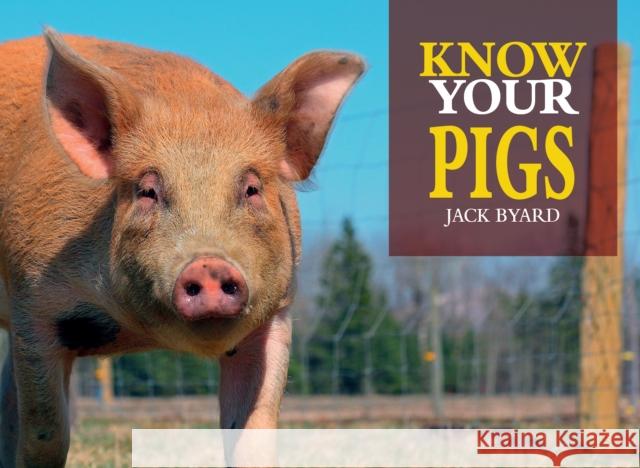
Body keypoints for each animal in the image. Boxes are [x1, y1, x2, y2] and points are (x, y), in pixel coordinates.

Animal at [0, 28, 363, 467]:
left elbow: (253, 432)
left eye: (252, 188)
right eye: (147, 191)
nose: (208, 265)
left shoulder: (277, 313)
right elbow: (46, 435)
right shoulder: (32, 302)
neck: (138, 334)